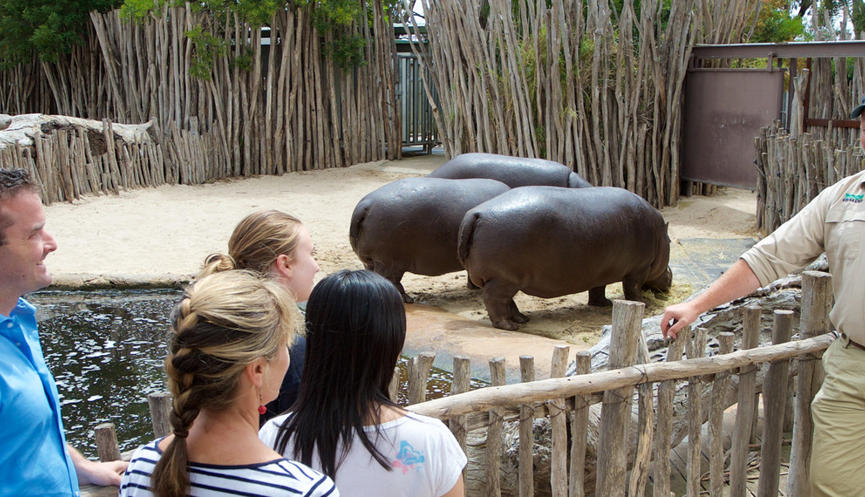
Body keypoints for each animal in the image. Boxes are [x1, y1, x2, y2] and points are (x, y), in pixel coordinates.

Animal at [348, 176, 510, 304]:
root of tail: (365, 205)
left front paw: (474, 287)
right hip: (388, 262)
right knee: (390, 280)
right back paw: (407, 299)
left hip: (371, 261)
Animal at [456, 186, 672, 330]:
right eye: (670, 241)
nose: (670, 277)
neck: (659, 233)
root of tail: (476, 214)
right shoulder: (639, 269)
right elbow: (632, 289)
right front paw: (643, 303)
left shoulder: (599, 270)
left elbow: (597, 289)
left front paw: (605, 304)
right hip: (502, 279)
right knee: (494, 301)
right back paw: (510, 326)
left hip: (506, 280)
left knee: (508, 302)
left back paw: (522, 319)